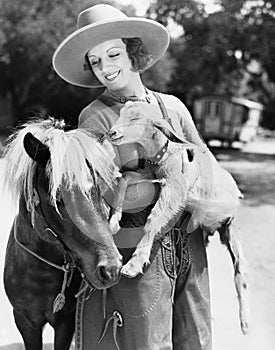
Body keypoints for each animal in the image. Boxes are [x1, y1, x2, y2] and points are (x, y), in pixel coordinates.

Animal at [2, 118, 123, 350]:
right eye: (58, 200)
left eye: (97, 192)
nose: (111, 269)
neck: (41, 274)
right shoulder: (25, 321)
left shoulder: (66, 322)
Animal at [109, 101, 249, 334]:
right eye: (121, 114)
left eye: (137, 118)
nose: (112, 132)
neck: (164, 155)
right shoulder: (150, 175)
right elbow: (125, 178)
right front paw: (113, 221)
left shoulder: (176, 187)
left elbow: (154, 218)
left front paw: (134, 264)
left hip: (234, 230)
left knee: (240, 273)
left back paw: (245, 322)